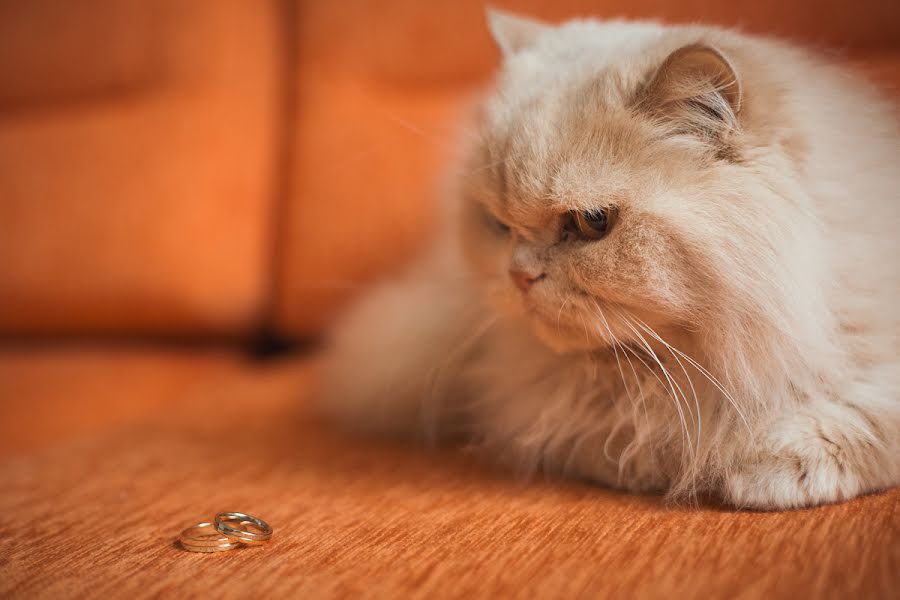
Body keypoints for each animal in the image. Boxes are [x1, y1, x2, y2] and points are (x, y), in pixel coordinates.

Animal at [324, 9, 900, 508]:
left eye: (593, 223)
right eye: (499, 224)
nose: (519, 275)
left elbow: (855, 421)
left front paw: (762, 469)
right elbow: (612, 439)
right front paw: (661, 464)